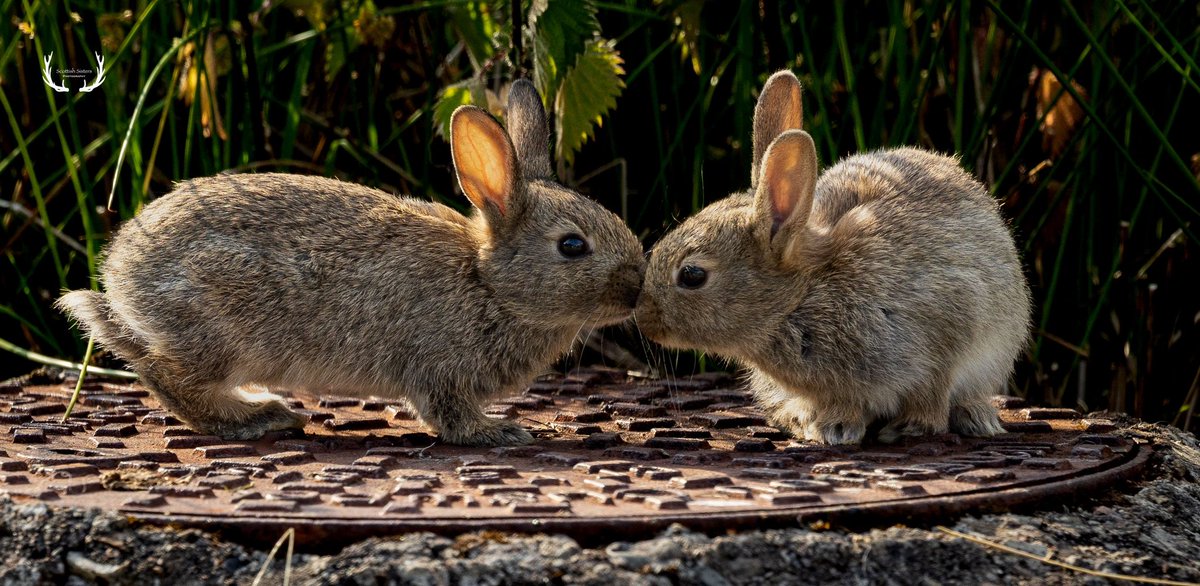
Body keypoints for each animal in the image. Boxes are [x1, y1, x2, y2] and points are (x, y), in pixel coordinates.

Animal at [60, 79, 648, 446]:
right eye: (572, 246)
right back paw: (260, 417)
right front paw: (500, 431)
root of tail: (120, 272)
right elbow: (450, 416)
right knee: (167, 377)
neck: (489, 284)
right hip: (219, 326)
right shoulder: (439, 370)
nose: (637, 289)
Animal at [638, 69, 1032, 444]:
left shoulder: (947, 328)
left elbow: (931, 393)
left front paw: (909, 428)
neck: (802, 296)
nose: (643, 318)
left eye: (692, 275)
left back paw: (977, 418)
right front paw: (831, 427)